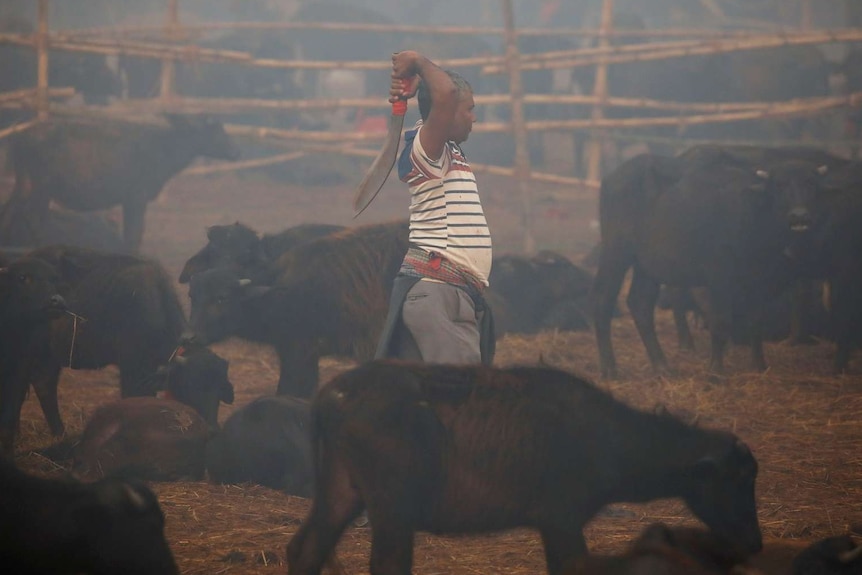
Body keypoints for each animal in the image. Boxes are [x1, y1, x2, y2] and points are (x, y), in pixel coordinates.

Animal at [4, 115, 240, 252]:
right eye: (214, 131)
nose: (235, 151)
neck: (163, 150)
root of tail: (20, 136)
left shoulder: (130, 200)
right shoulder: (137, 197)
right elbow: (133, 235)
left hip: (25, 183)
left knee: (13, 211)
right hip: (41, 187)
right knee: (32, 219)